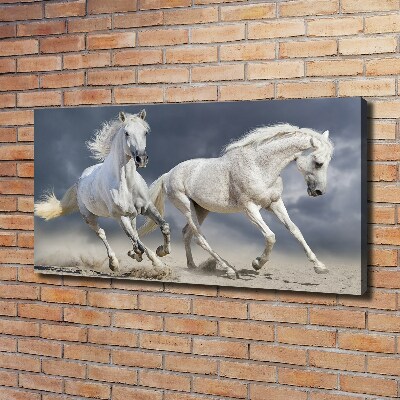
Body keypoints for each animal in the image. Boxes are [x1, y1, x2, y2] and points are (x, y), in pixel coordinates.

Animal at [34, 109, 170, 272]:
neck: (127, 184)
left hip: (132, 215)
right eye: (126, 133)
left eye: (145, 132)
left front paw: (162, 251)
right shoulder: (120, 216)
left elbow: (163, 226)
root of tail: (79, 180)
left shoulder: (147, 207)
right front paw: (158, 264)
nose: (141, 159)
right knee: (103, 234)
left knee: (135, 234)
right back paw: (114, 263)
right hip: (90, 218)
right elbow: (137, 242)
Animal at [139, 123, 332, 280]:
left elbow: (295, 230)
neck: (259, 166)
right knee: (200, 238)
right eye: (318, 162)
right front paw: (257, 263)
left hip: (201, 209)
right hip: (186, 207)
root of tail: (168, 174)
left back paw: (191, 265)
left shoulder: (274, 203)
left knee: (187, 234)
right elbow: (270, 236)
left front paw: (320, 266)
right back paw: (229, 270)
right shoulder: (249, 208)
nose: (319, 192)